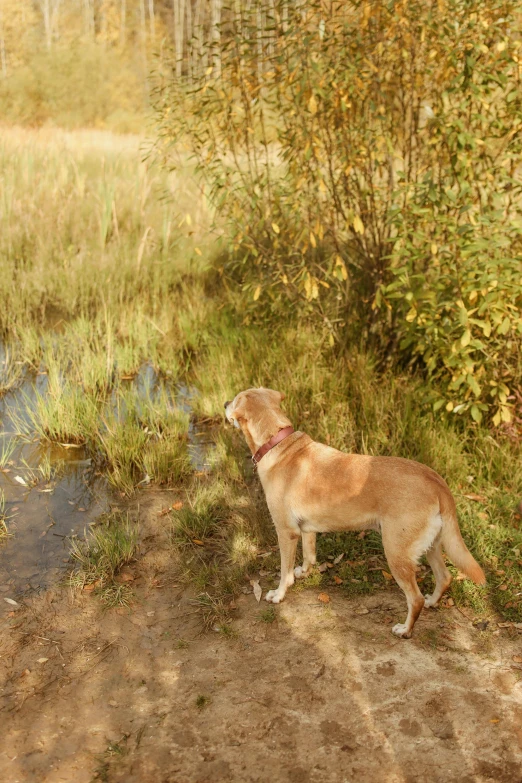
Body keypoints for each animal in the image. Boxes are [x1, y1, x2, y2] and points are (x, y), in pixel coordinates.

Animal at [223, 386, 484, 636]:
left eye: (234, 400)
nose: (224, 403)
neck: (277, 443)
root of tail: (437, 481)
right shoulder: (306, 530)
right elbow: (309, 557)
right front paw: (304, 572)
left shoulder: (287, 533)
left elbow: (284, 573)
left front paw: (278, 595)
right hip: (431, 546)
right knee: (444, 578)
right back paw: (432, 602)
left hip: (397, 554)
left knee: (415, 598)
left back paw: (405, 630)